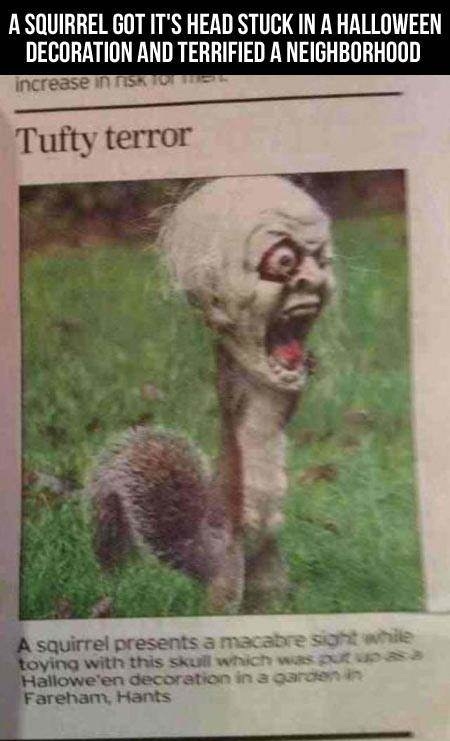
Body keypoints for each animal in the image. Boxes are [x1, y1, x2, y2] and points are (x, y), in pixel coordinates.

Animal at [90, 176, 334, 613]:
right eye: (284, 261)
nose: (310, 281)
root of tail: (203, 557)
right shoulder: (231, 380)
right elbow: (233, 401)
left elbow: (288, 407)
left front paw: (310, 365)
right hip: (231, 569)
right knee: (225, 598)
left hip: (269, 559)